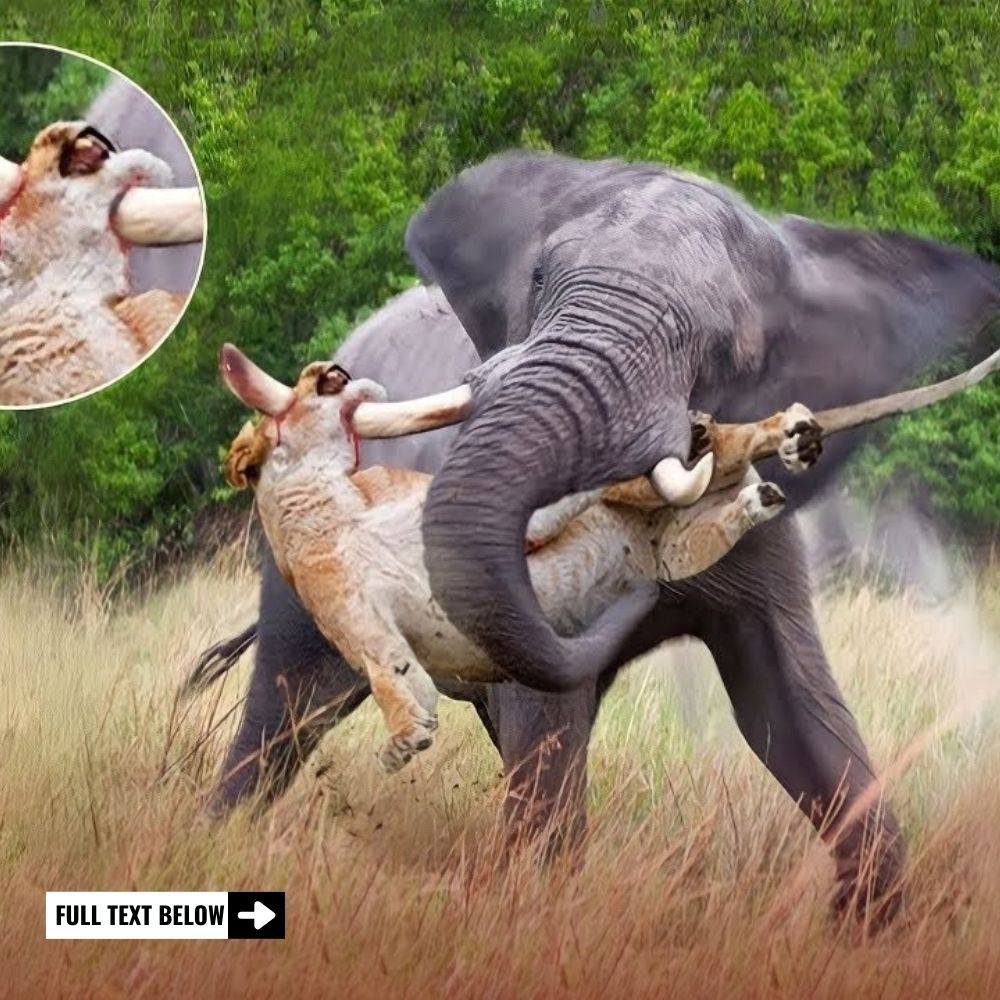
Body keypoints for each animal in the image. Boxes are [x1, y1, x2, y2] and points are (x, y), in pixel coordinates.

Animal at [197, 152, 1000, 924]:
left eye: (725, 345)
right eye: (539, 279)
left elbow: (790, 709)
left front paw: (863, 927)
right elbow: (547, 732)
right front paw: (535, 908)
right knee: (284, 711)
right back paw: (216, 834)